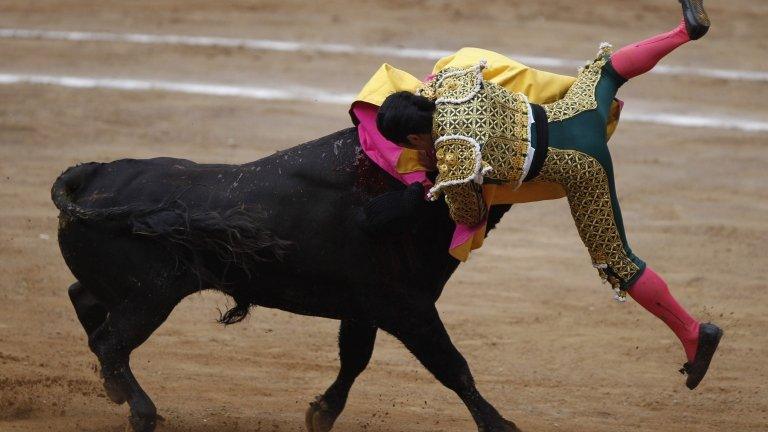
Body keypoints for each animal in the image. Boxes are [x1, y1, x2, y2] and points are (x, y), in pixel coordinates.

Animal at [51, 127, 520, 432]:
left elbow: (354, 359)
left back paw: (114, 389)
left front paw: (322, 414)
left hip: (129, 291)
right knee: (111, 341)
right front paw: (500, 425)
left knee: (84, 300)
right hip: (151, 296)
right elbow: (453, 367)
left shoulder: (365, 308)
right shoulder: (408, 307)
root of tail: (91, 173)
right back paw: (143, 412)